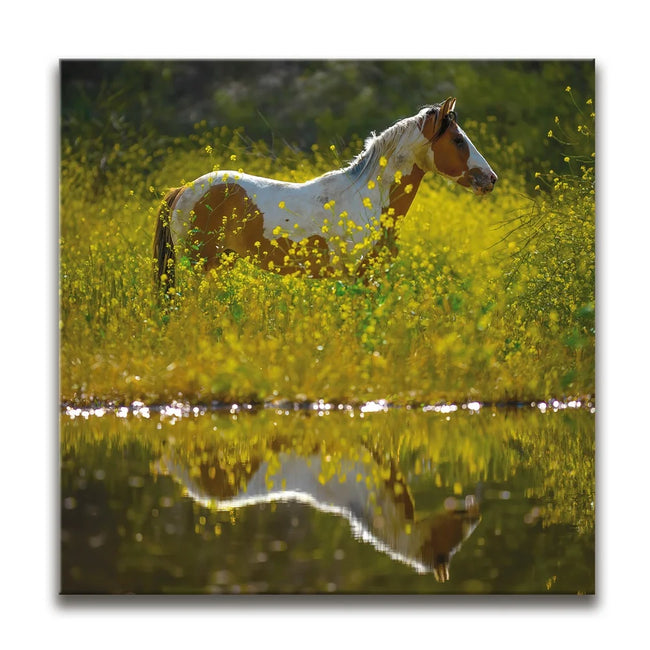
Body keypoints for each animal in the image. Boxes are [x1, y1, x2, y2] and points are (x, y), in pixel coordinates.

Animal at [153, 97, 497, 289]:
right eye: (457, 140)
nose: (490, 179)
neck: (369, 200)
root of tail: (183, 190)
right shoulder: (358, 276)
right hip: (201, 265)